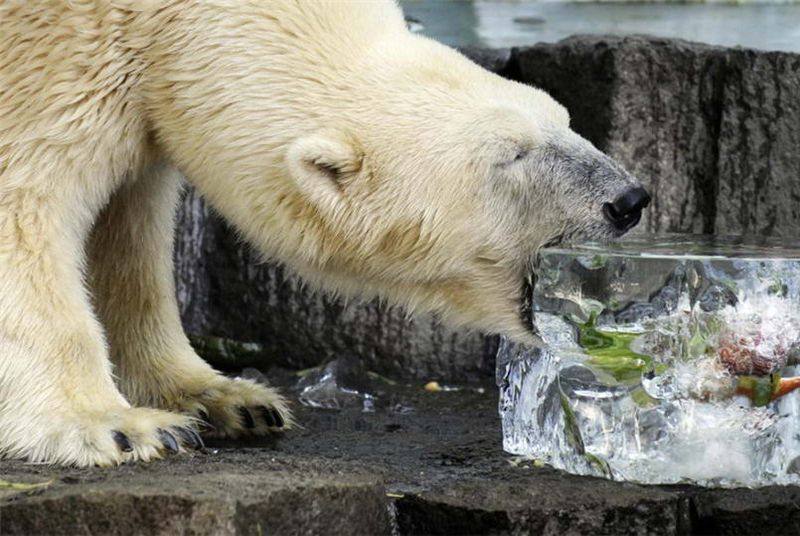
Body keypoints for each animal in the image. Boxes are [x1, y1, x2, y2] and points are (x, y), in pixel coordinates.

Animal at [0, 0, 649, 466]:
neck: (159, 14)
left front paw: (225, 398)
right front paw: (116, 427)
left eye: (563, 119)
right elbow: (24, 205)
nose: (628, 200)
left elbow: (129, 232)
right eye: (510, 155)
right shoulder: (53, 56)